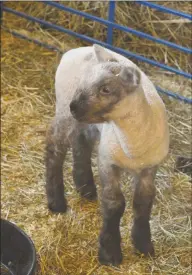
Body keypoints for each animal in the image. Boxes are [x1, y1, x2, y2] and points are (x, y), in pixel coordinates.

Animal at [45, 44, 170, 266]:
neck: (132, 145)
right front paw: (110, 252)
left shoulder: (149, 168)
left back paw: (85, 187)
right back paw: (57, 202)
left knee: (81, 143)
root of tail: (75, 49)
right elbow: (114, 203)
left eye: (106, 89)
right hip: (64, 111)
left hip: (85, 122)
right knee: (55, 149)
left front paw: (143, 245)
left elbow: (143, 202)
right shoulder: (107, 161)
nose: (74, 106)